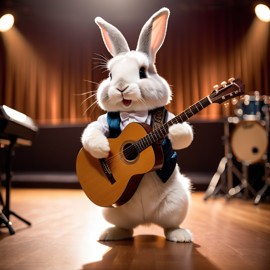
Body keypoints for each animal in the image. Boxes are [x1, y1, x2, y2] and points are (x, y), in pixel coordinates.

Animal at [81, 7, 193, 243]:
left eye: (142, 72)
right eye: (110, 75)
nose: (121, 87)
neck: (133, 113)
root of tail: (146, 221)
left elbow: (183, 135)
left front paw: (176, 129)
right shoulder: (103, 121)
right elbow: (92, 131)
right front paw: (102, 148)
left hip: (178, 201)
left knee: (170, 224)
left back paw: (179, 235)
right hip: (113, 210)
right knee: (125, 227)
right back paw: (111, 233)